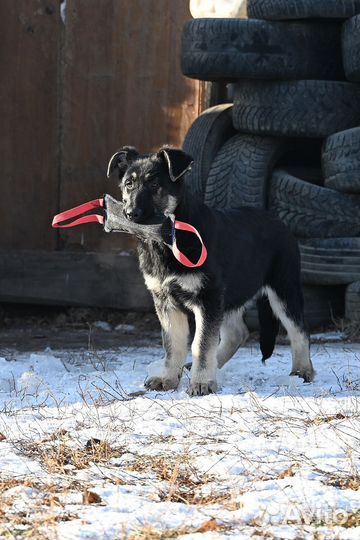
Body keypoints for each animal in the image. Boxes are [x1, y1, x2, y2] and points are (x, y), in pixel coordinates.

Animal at [107, 146, 316, 394]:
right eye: (129, 184)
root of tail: (279, 221)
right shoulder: (166, 301)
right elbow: (173, 344)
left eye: (154, 184)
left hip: (282, 288)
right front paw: (168, 378)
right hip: (232, 293)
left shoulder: (207, 297)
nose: (130, 214)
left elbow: (201, 343)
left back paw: (302, 371)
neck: (169, 239)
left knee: (299, 329)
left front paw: (202, 382)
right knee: (237, 333)